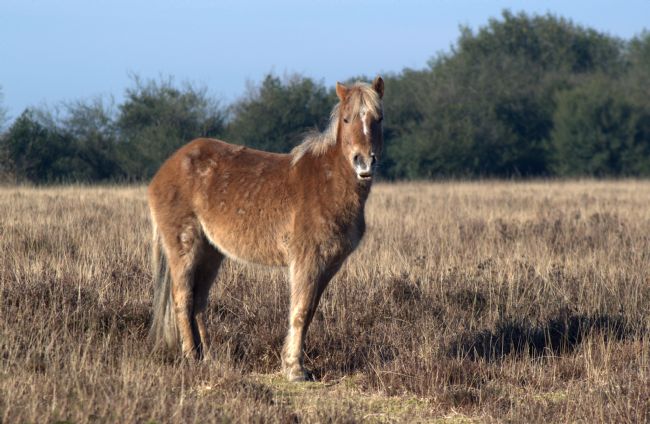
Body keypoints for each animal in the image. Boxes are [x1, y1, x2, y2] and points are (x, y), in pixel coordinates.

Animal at [147, 76, 384, 381]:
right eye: (346, 119)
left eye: (378, 119)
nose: (364, 163)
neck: (329, 182)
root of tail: (166, 169)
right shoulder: (306, 261)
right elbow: (300, 310)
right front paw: (295, 369)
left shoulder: (329, 264)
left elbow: (309, 311)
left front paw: (293, 363)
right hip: (184, 247)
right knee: (182, 298)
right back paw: (190, 357)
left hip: (210, 253)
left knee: (198, 301)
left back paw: (208, 357)